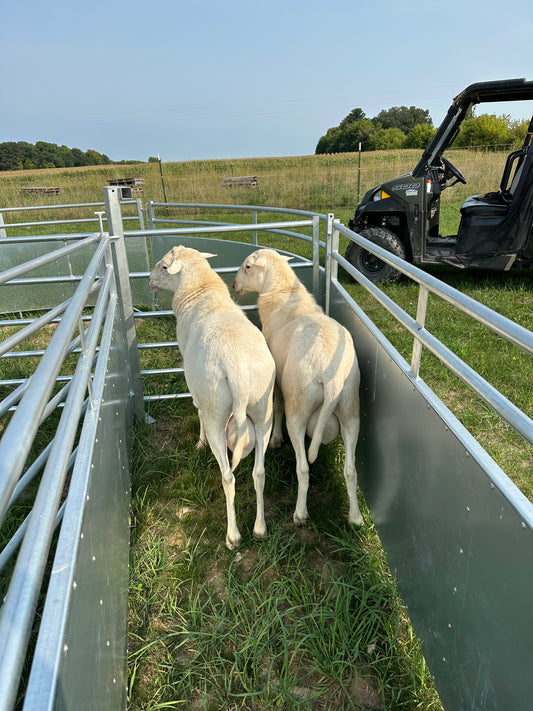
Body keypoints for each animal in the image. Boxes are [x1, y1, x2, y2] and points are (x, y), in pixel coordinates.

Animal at [149, 245, 275, 549]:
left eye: (163, 267)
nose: (149, 281)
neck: (201, 291)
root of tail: (237, 367)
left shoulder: (195, 388)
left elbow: (196, 410)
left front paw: (199, 443)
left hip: (217, 410)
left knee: (228, 476)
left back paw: (233, 536)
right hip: (264, 412)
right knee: (259, 472)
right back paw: (259, 528)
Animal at [233, 248, 362, 527]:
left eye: (248, 266)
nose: (234, 286)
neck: (283, 296)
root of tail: (331, 376)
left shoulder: (277, 382)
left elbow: (277, 406)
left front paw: (275, 439)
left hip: (299, 407)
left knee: (303, 467)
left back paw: (300, 513)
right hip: (350, 410)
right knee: (350, 469)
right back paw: (355, 517)